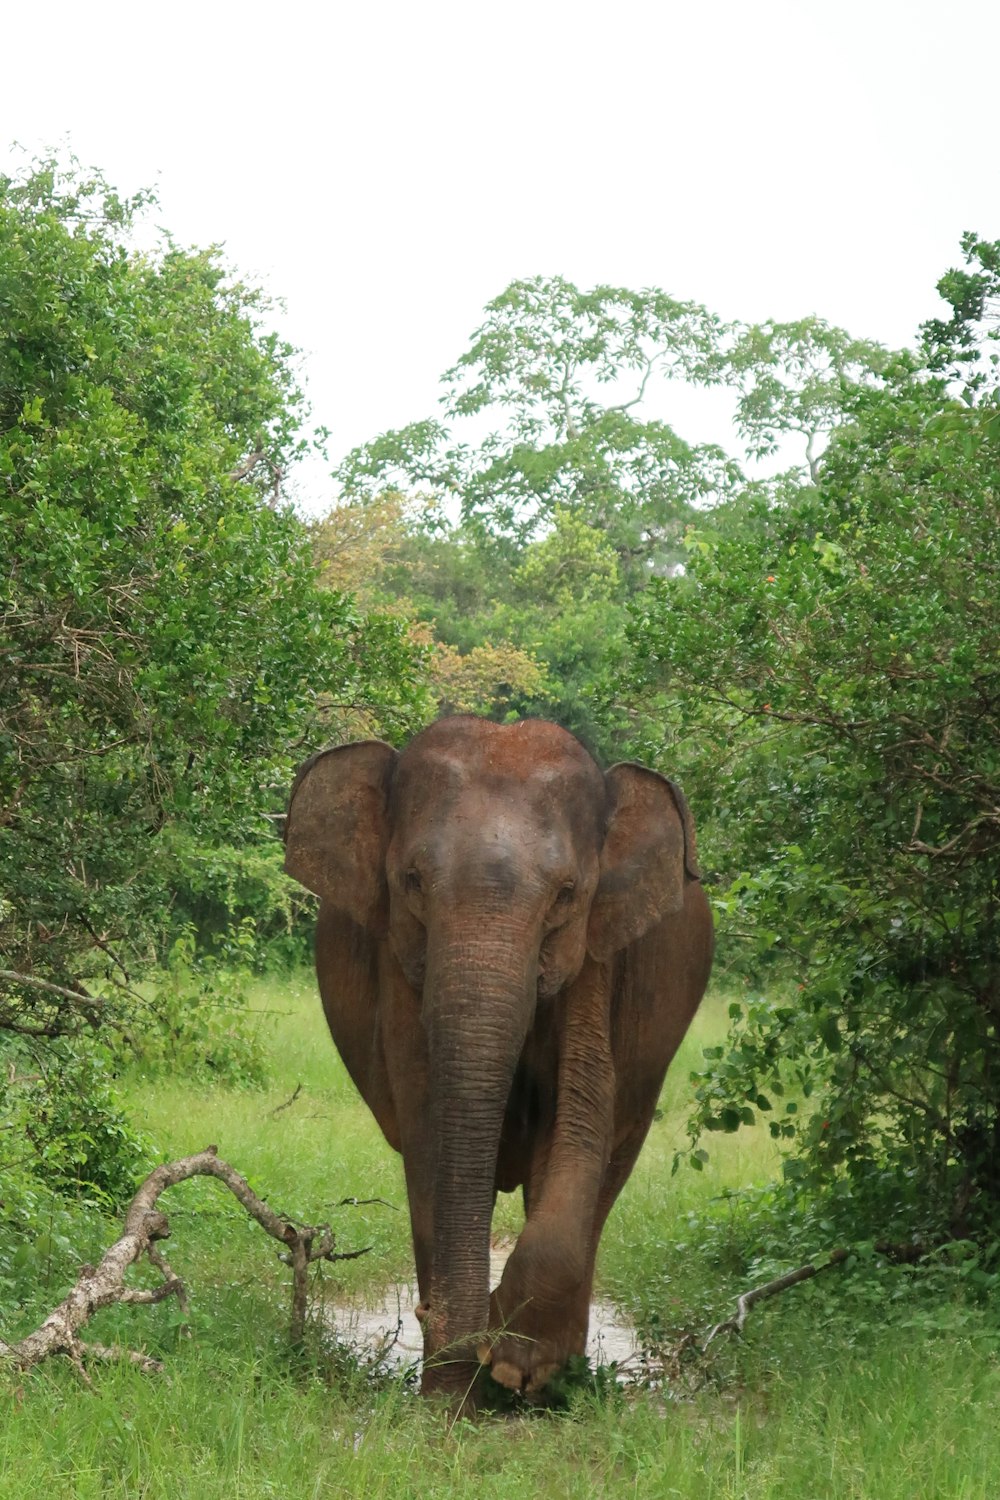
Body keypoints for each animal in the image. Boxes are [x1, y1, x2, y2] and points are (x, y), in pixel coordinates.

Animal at [284, 714, 716, 1404]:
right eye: (411, 881)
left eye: (567, 893)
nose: (456, 1335)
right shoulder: (397, 964)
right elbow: (428, 1122)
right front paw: (453, 1395)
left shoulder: (594, 960)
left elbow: (582, 1113)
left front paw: (512, 1362)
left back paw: (555, 1384)